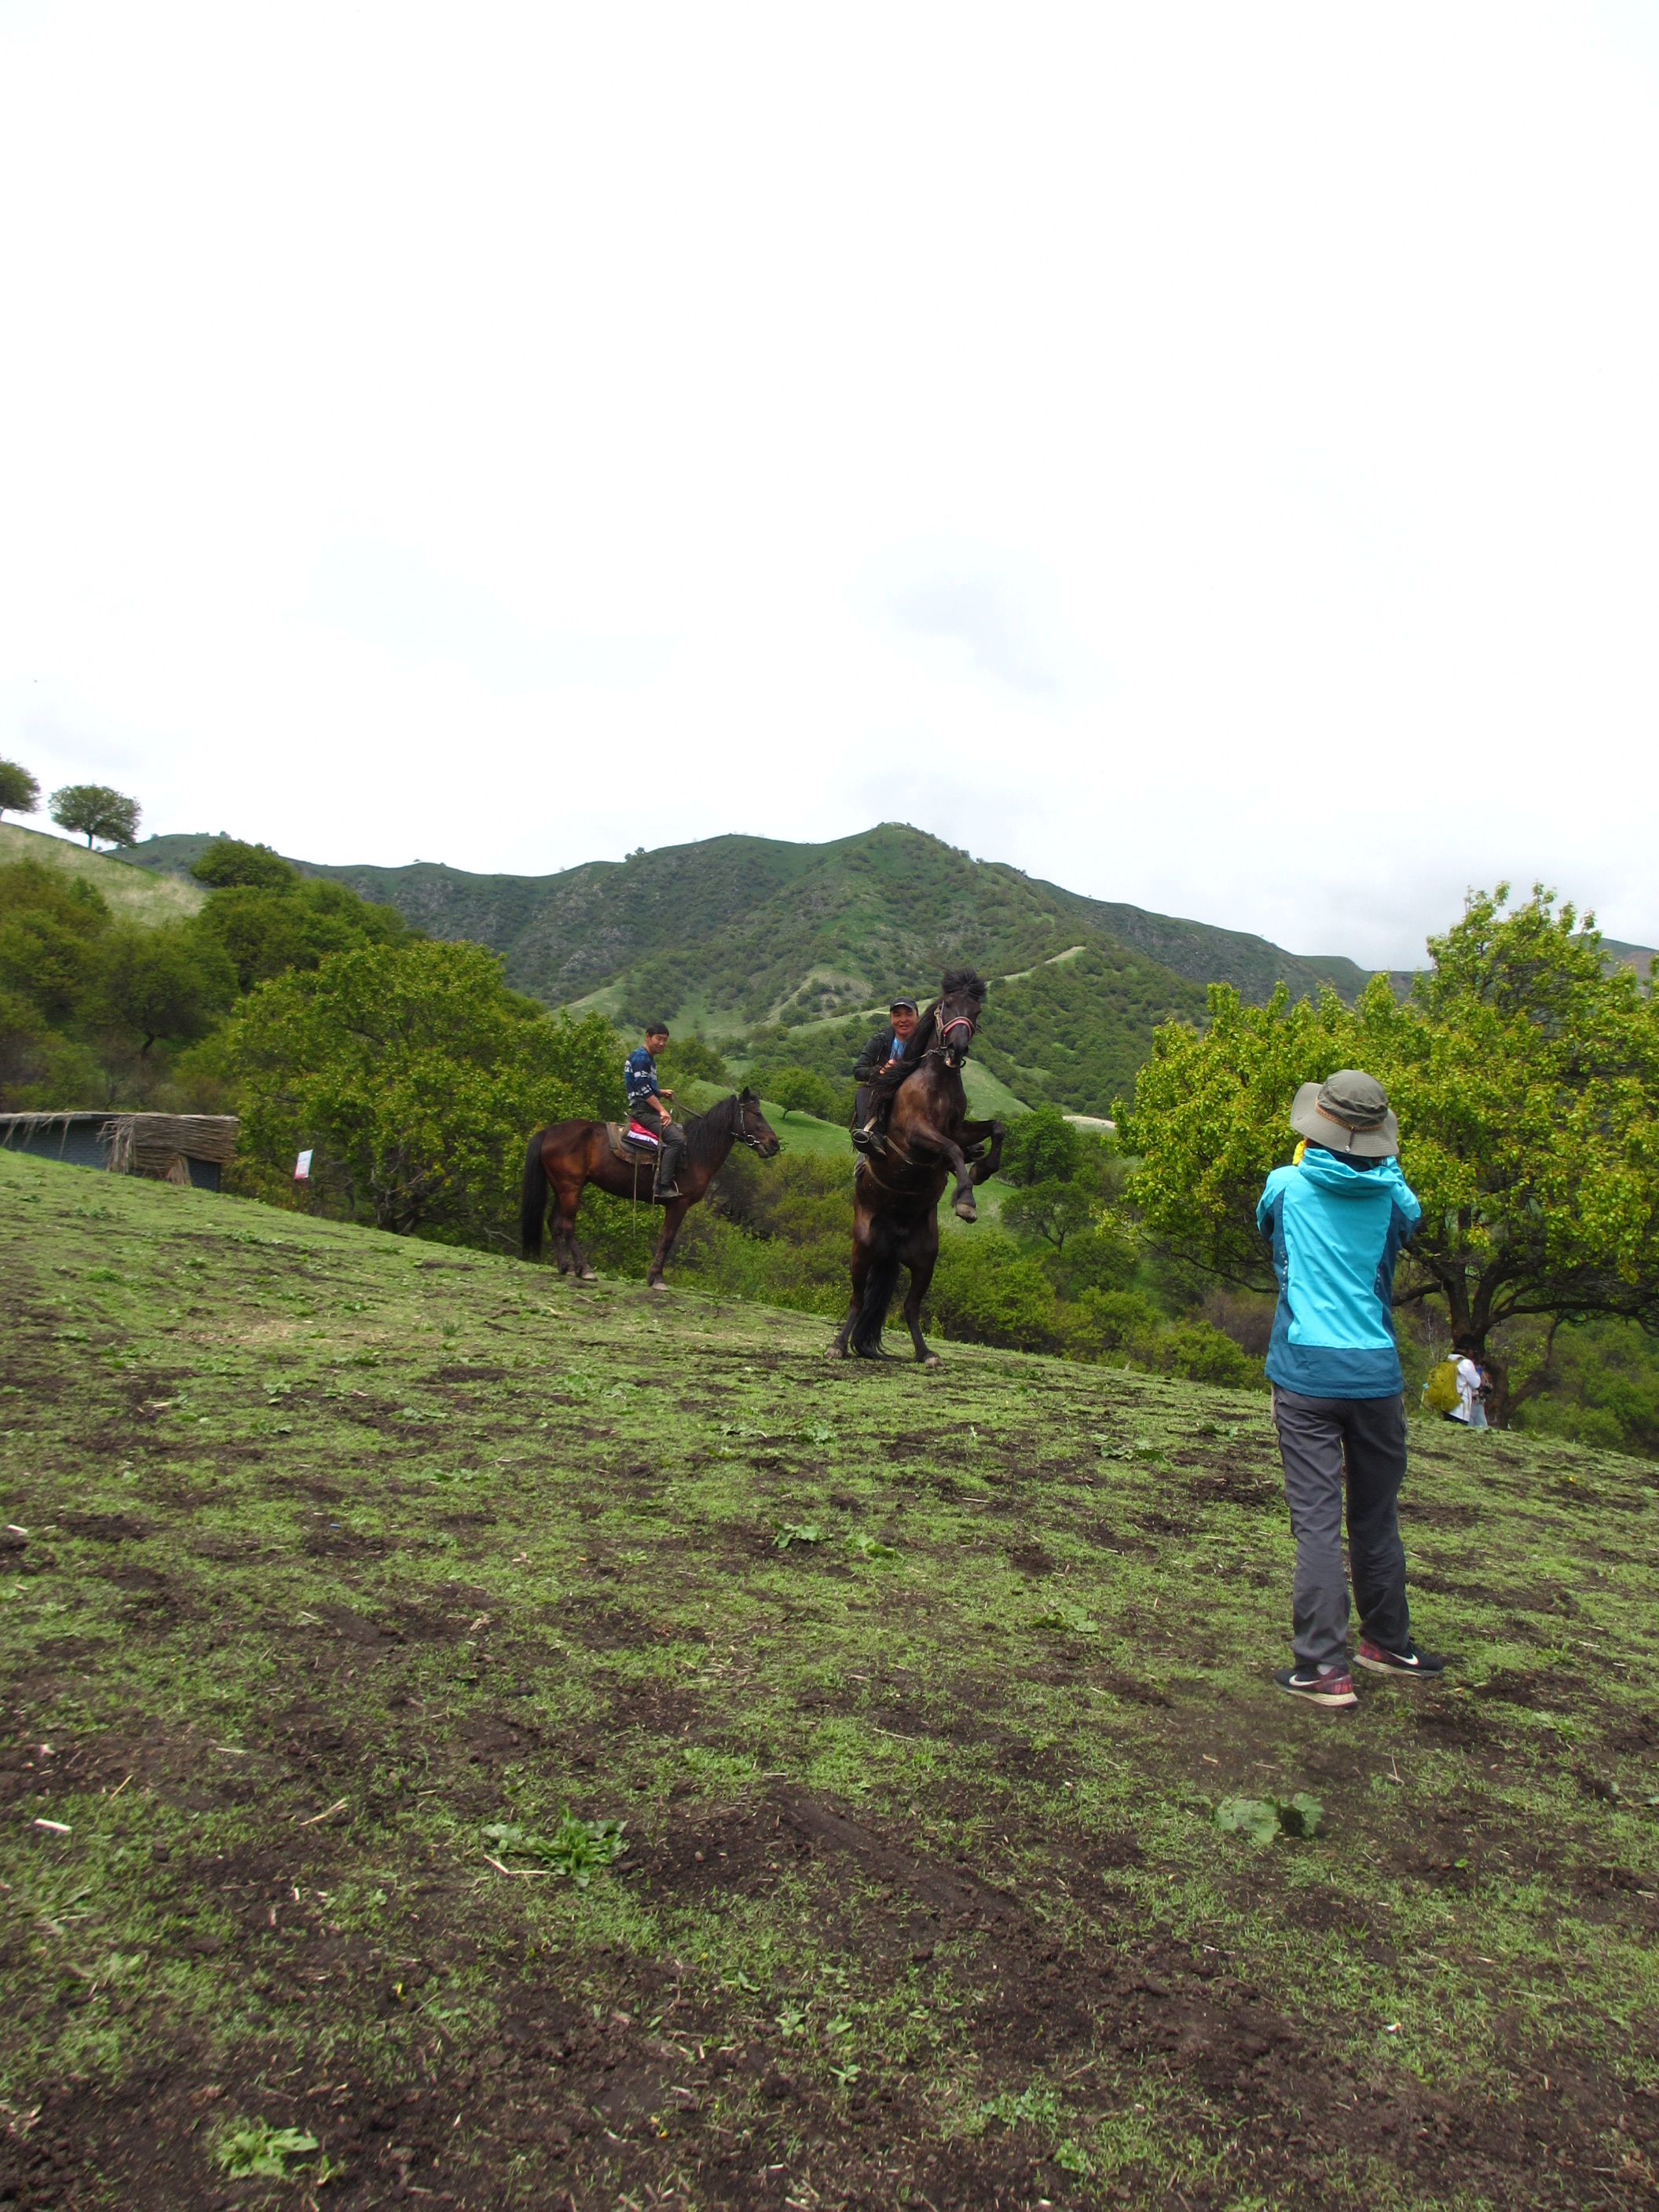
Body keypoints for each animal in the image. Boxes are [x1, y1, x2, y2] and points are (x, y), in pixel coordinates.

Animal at [520, 1089, 780, 1288]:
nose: (774, 1144)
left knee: (554, 1223)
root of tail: (548, 1132)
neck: (695, 1151)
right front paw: (657, 1278)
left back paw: (564, 1266)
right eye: (757, 1113)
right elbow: (667, 1239)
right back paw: (584, 1269)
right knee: (567, 1226)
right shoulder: (678, 1204)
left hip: (563, 1188)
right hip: (570, 1189)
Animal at [828, 970, 1005, 1364]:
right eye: (948, 1005)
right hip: (862, 1250)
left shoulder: (958, 1127)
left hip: (925, 1260)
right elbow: (952, 1150)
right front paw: (966, 1200)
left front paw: (981, 1169)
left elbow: (996, 1128)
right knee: (856, 1299)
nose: (957, 1049)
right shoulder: (918, 1134)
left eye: (976, 1010)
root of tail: (893, 1243)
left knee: (910, 1306)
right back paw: (838, 1346)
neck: (937, 1082)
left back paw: (926, 1354)